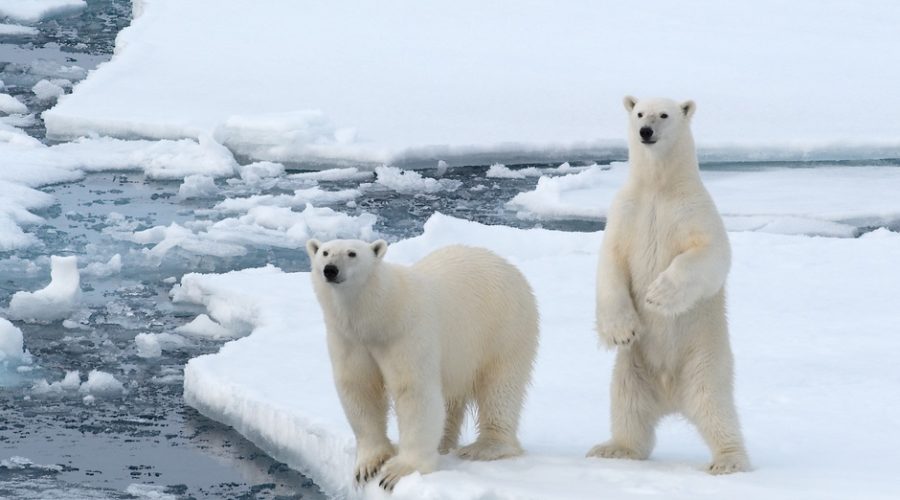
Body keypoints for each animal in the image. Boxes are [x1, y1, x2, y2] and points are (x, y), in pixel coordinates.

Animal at [306, 239, 536, 492]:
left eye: (352, 253)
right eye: (325, 252)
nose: (330, 269)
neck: (381, 315)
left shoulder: (407, 333)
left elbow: (413, 391)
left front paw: (397, 471)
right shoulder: (349, 340)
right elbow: (359, 389)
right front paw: (368, 466)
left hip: (504, 328)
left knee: (500, 387)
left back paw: (485, 447)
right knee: (451, 400)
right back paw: (443, 444)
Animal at [592, 95, 752, 474]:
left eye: (663, 114)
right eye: (639, 112)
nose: (645, 131)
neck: (658, 187)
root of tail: (670, 396)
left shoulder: (693, 210)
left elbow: (711, 253)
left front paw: (659, 295)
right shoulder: (625, 212)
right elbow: (610, 263)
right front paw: (622, 330)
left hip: (704, 361)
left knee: (715, 408)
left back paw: (728, 460)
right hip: (631, 370)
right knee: (627, 406)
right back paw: (614, 448)